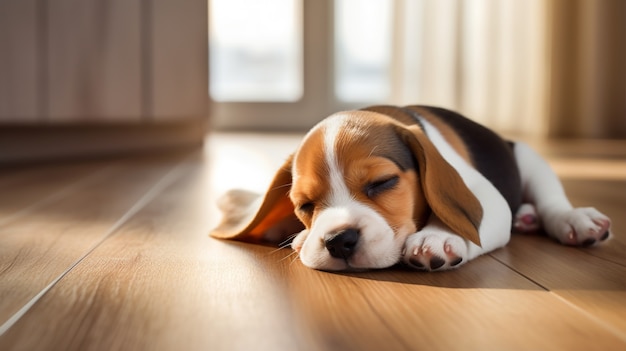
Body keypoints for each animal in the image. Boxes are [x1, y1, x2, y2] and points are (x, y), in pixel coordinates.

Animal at [210, 105, 608, 272]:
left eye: (382, 183)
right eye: (305, 205)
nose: (339, 241)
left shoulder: (486, 195)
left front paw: (438, 237)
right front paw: (301, 237)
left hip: (528, 156)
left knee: (553, 201)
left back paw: (571, 220)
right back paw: (526, 218)